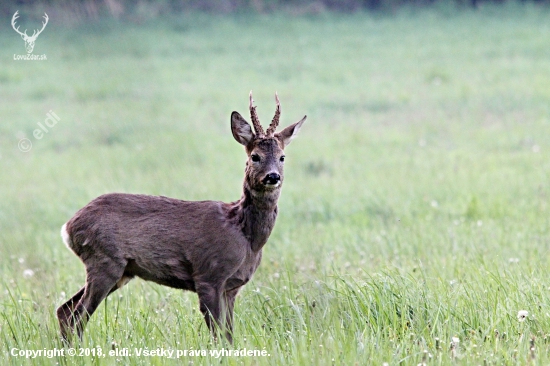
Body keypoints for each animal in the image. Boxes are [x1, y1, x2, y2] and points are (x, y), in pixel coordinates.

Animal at [56, 91, 308, 344]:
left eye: (282, 157)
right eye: (255, 156)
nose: (273, 176)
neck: (245, 236)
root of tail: (68, 227)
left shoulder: (231, 287)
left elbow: (228, 336)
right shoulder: (208, 274)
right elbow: (217, 335)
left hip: (120, 270)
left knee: (64, 310)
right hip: (104, 260)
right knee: (76, 315)